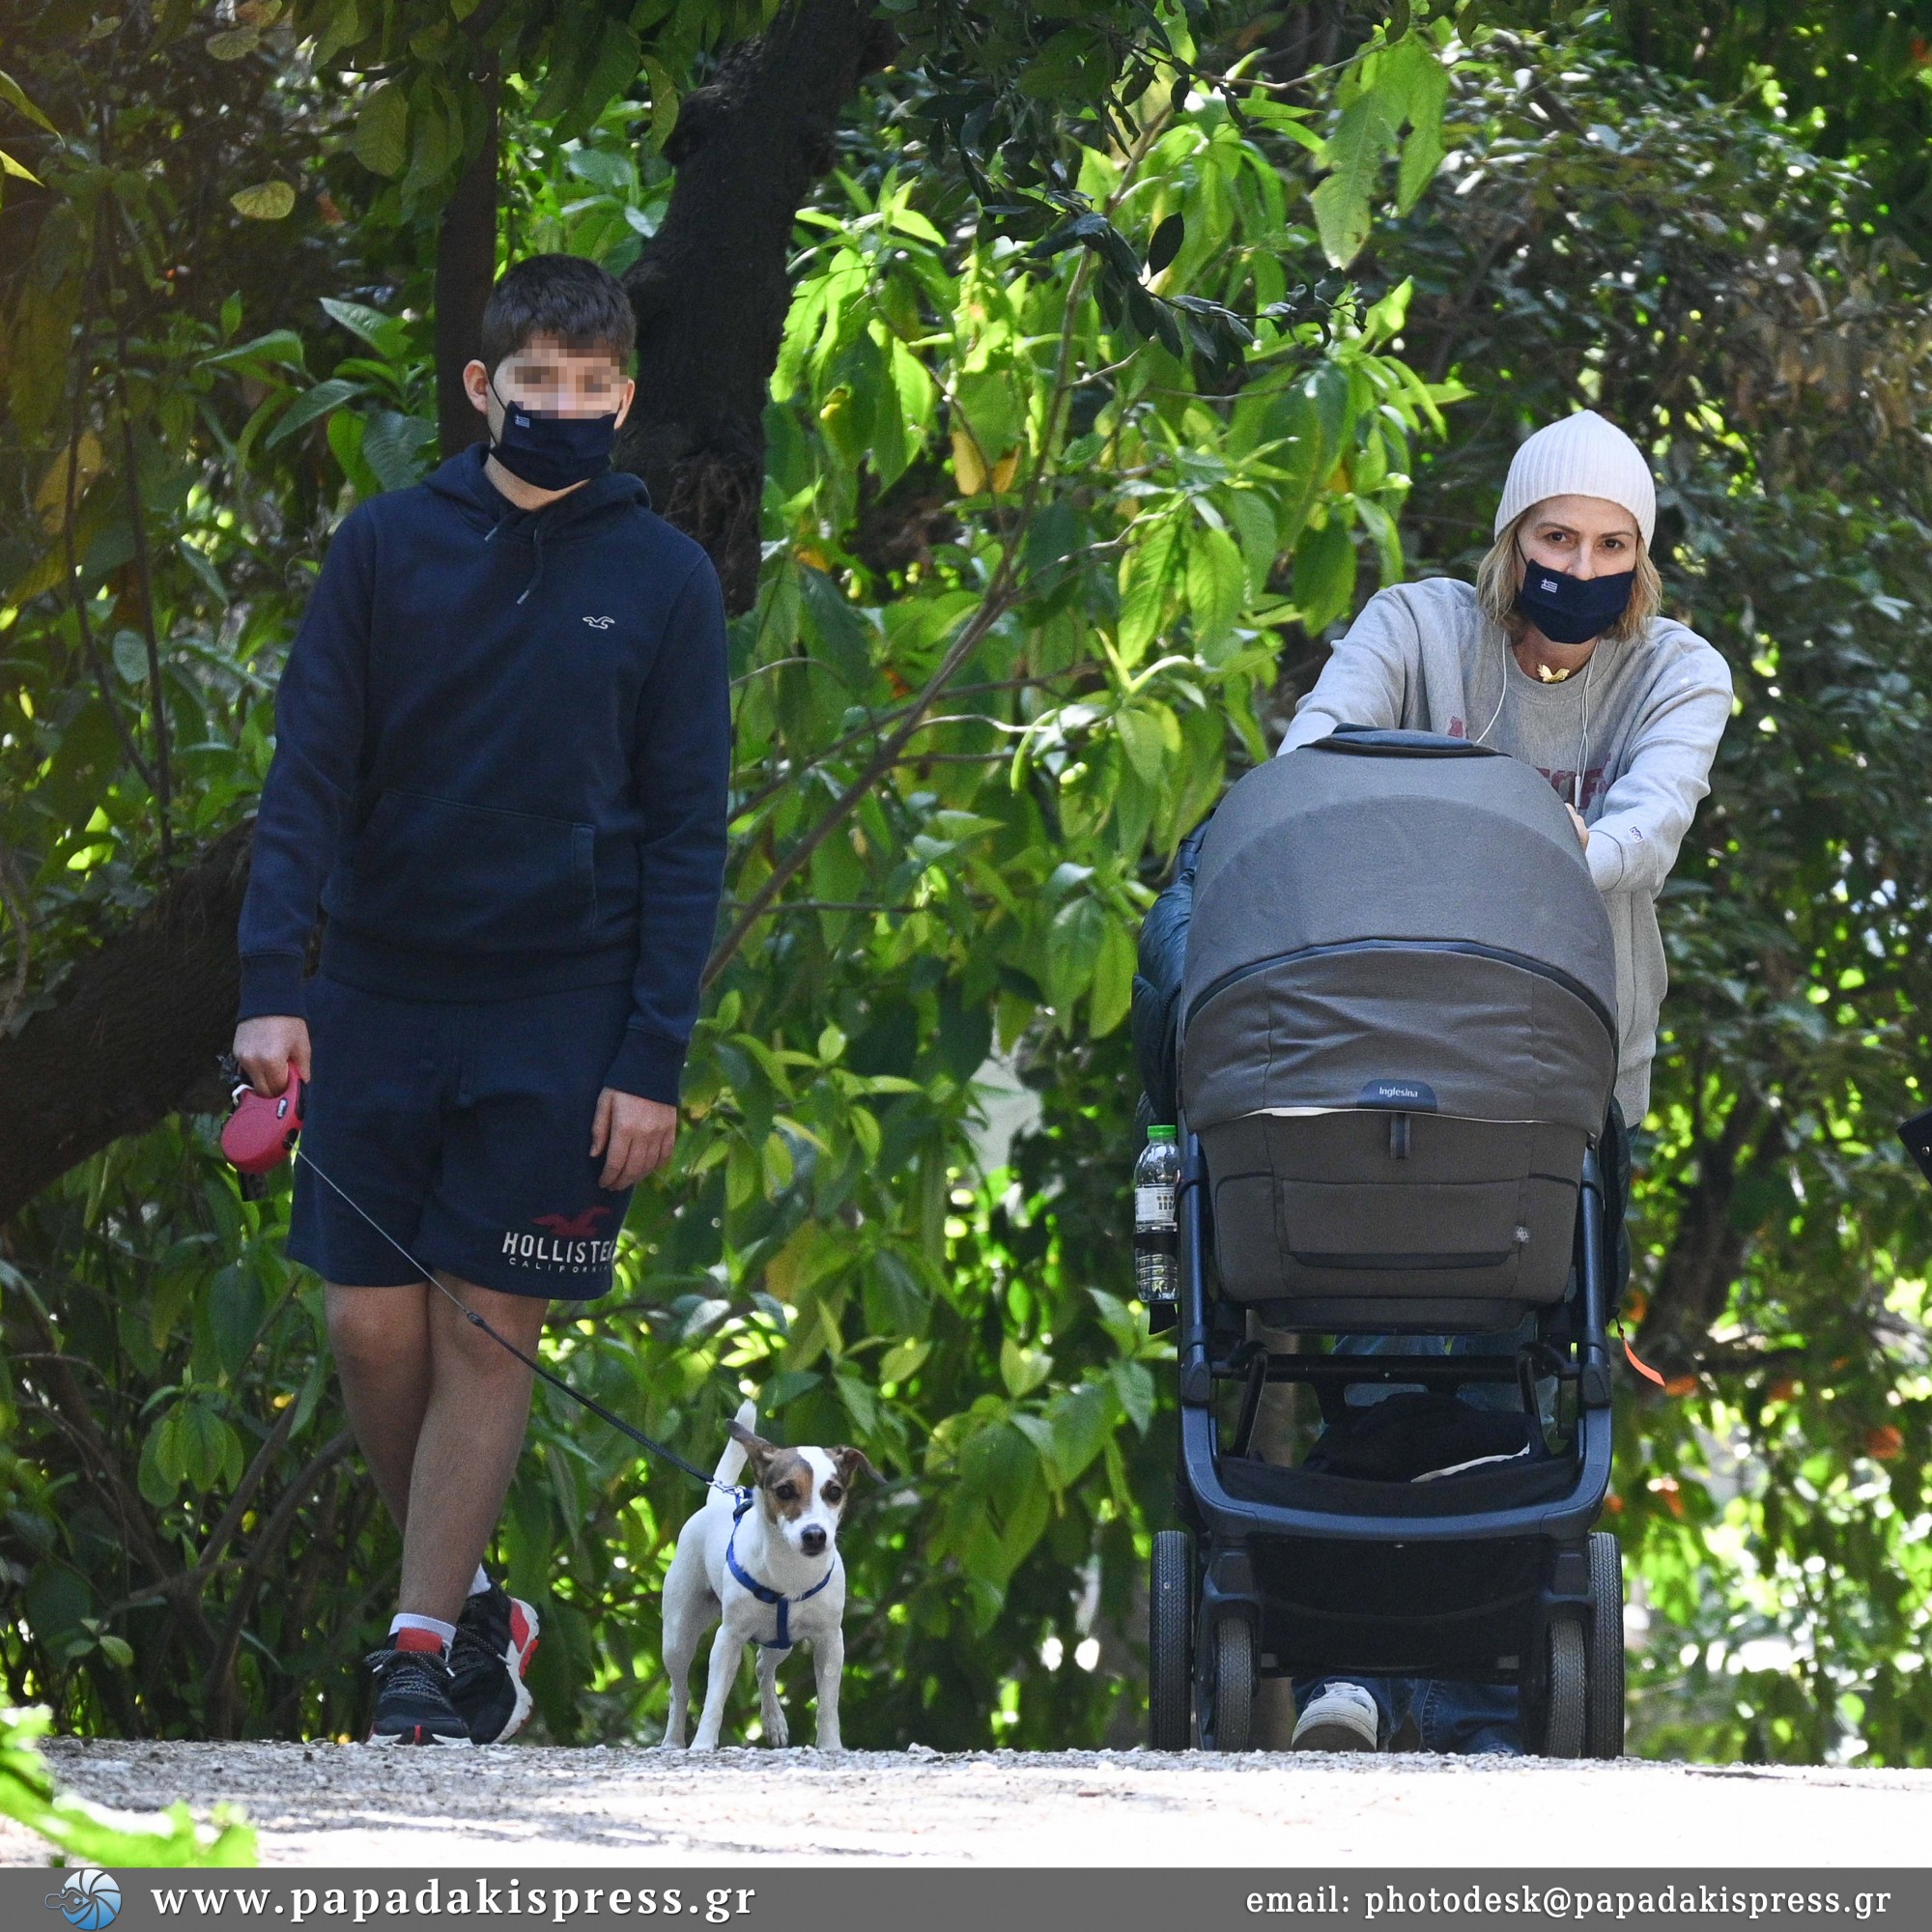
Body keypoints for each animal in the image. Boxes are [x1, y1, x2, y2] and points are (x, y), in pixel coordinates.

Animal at [661, 1399, 881, 1762]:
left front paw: (831, 1745)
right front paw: (704, 1743)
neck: (790, 1573)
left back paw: (774, 1721)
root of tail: (719, 1498)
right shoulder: (729, 1638)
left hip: (782, 1640)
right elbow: (714, 1699)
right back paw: (673, 1740)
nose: (815, 1535)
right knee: (679, 1691)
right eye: (786, 1491)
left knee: (765, 1667)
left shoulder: (830, 1640)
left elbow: (828, 1703)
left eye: (834, 1492)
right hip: (677, 1637)